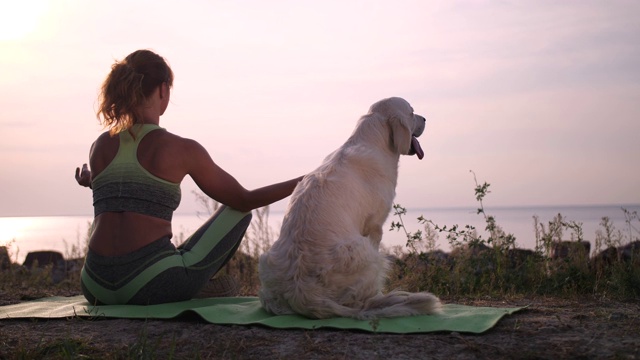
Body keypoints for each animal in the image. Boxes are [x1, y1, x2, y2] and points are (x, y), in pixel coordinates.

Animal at [258, 97, 440, 320]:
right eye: (412, 112)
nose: (425, 119)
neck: (374, 138)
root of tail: (303, 294)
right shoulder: (374, 226)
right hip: (369, 254)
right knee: (362, 300)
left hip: (266, 259)